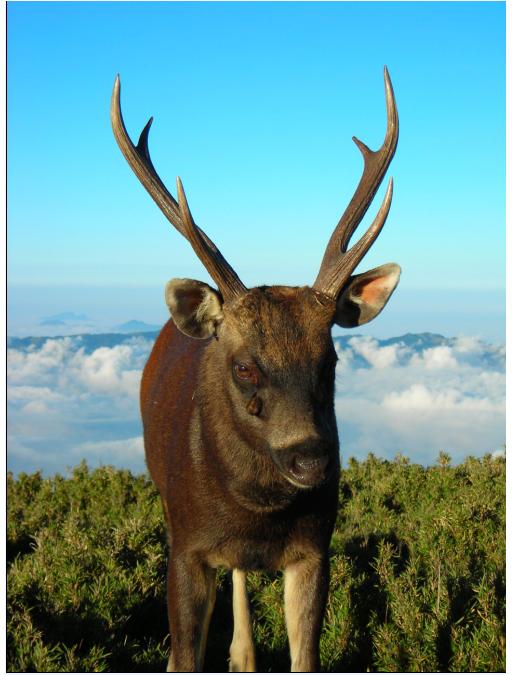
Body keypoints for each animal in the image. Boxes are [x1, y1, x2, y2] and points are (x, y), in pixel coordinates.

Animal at [111, 66, 400, 673]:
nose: (311, 458)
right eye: (244, 366)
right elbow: (183, 657)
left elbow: (305, 657)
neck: (256, 514)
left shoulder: (315, 549)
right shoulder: (186, 548)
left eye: (331, 359)